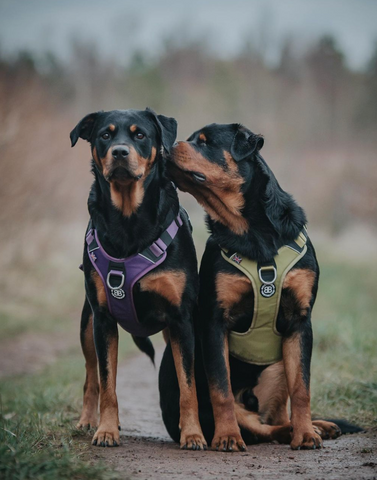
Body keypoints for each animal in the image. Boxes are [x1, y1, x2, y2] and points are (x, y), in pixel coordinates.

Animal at [70, 109, 206, 450]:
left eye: (140, 135)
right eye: (105, 135)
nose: (120, 152)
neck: (129, 219)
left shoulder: (182, 319)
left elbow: (188, 386)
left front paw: (193, 434)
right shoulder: (103, 319)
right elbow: (107, 383)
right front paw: (106, 430)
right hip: (87, 323)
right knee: (91, 375)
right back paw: (88, 420)